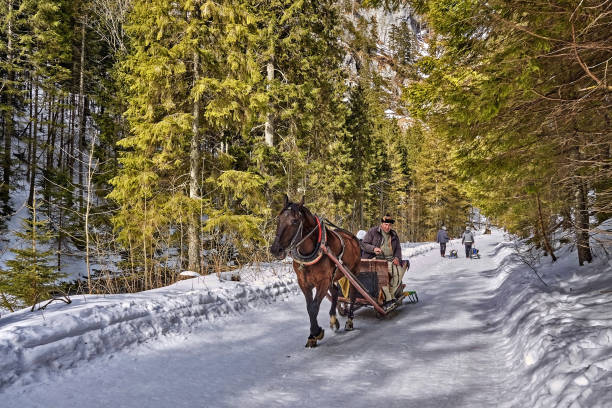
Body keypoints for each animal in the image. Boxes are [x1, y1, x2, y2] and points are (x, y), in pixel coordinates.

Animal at [268, 195, 364, 348]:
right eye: (279, 218)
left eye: (295, 221)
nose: (275, 249)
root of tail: (353, 238)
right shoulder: (304, 282)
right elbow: (309, 307)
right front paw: (312, 336)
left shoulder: (323, 281)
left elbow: (314, 307)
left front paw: (316, 332)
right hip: (333, 276)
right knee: (336, 292)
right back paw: (334, 320)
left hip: (352, 272)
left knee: (353, 295)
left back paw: (349, 321)